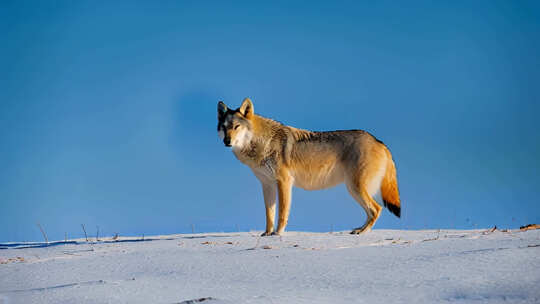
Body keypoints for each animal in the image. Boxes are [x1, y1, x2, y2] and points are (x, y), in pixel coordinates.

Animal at [216, 98, 400, 236]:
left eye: (236, 127)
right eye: (224, 127)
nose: (227, 141)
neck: (262, 144)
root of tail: (379, 142)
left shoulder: (284, 182)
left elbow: (282, 213)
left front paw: (277, 234)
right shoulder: (267, 185)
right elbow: (269, 214)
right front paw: (267, 234)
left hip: (355, 188)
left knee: (377, 209)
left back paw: (362, 232)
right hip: (354, 189)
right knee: (372, 211)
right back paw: (359, 229)